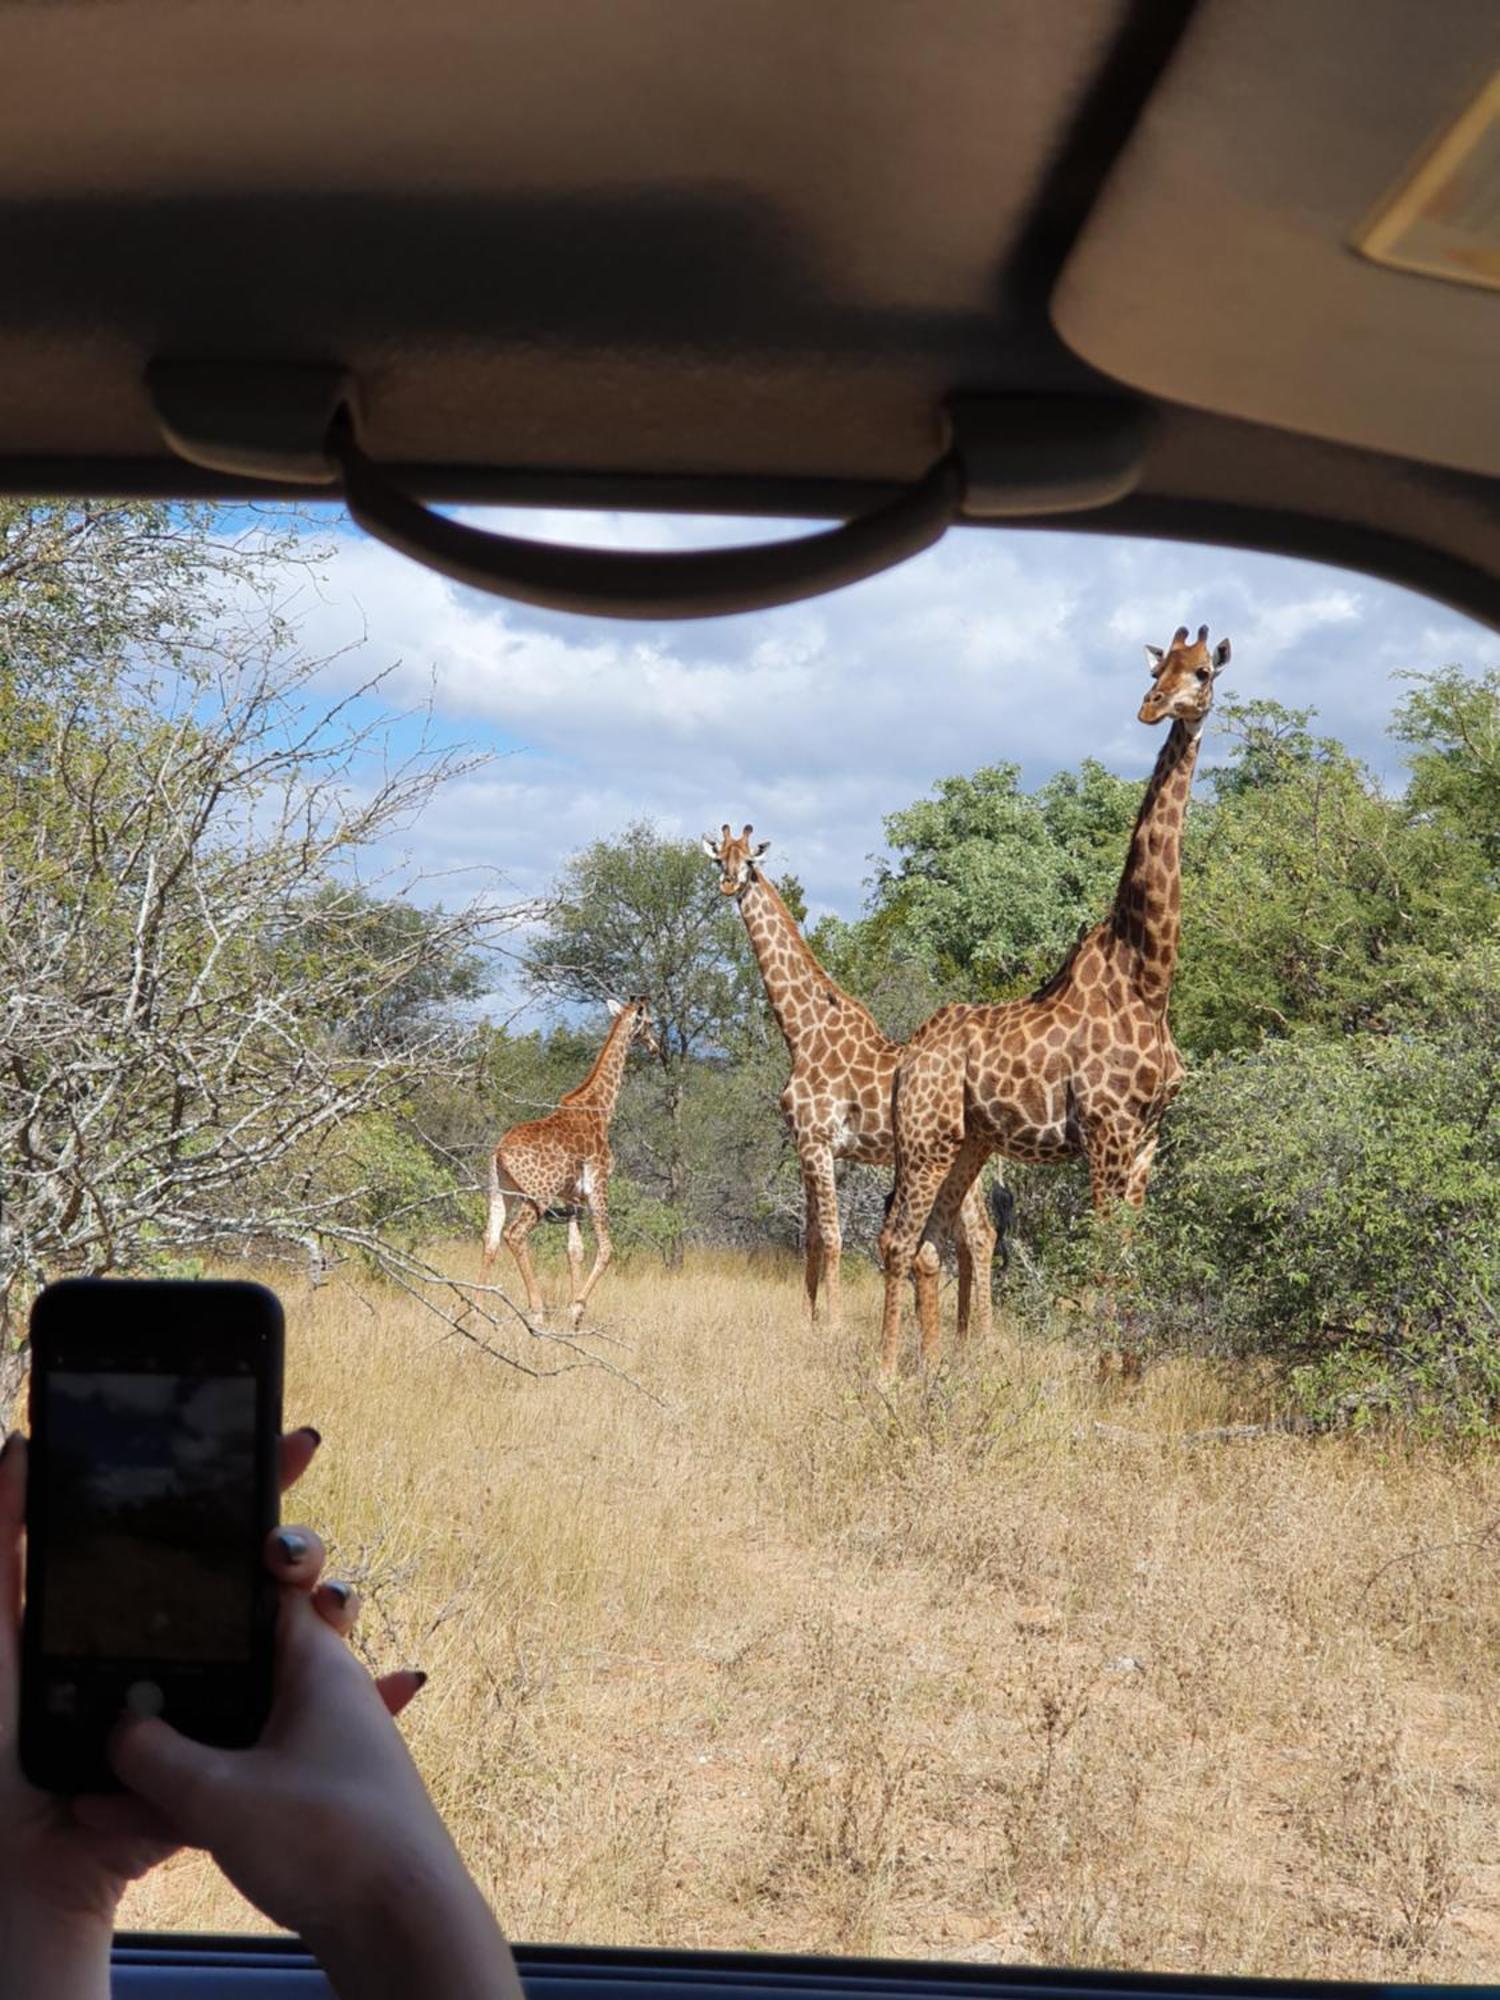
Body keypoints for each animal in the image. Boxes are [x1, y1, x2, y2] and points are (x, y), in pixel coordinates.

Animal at [482, 996, 656, 1328]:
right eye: (651, 1023)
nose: (655, 1046)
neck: (601, 1107)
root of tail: (500, 1152)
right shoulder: (598, 1184)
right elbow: (606, 1249)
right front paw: (575, 1309)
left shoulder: (572, 1196)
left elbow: (574, 1251)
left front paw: (574, 1318)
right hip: (538, 1194)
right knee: (515, 1235)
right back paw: (536, 1311)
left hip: (501, 1191)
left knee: (491, 1238)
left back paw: (475, 1310)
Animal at [704, 820, 1004, 1336]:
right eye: (719, 857)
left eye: (749, 861)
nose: (728, 884)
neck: (802, 1032)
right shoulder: (806, 1145)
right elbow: (810, 1238)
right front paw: (807, 1321)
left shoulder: (818, 1141)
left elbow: (832, 1234)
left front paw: (834, 1324)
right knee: (972, 1237)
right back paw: (964, 1333)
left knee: (981, 1234)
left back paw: (981, 1337)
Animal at [880, 624, 1232, 1376]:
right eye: (1158, 671)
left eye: (1202, 674)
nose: (1152, 708)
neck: (1149, 979)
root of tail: (907, 1058)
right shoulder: (1106, 1129)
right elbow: (1101, 1256)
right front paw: (1102, 1374)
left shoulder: (1147, 1138)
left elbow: (1129, 1255)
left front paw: (1128, 1373)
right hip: (924, 1139)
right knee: (897, 1240)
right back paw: (889, 1372)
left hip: (967, 1143)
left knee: (930, 1242)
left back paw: (933, 1369)